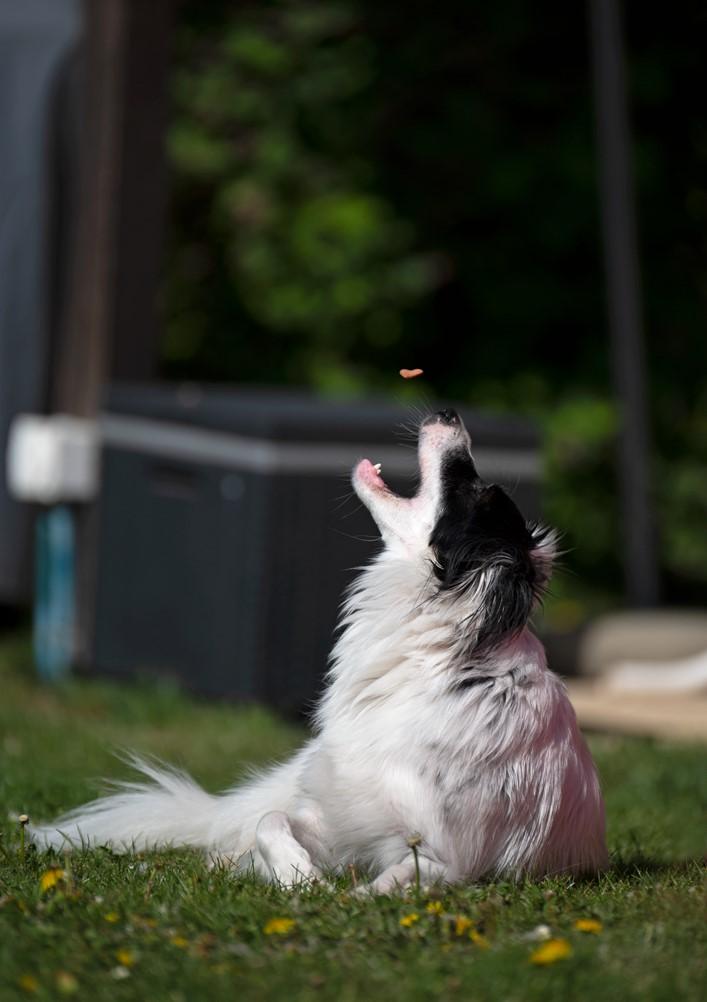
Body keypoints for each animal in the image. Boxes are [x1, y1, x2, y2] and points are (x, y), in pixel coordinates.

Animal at [33, 408, 604, 893]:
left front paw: (347, 899)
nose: (448, 411)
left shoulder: (452, 860)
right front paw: (297, 878)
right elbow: (271, 824)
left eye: (476, 489)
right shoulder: (336, 818)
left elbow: (396, 880)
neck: (439, 656)